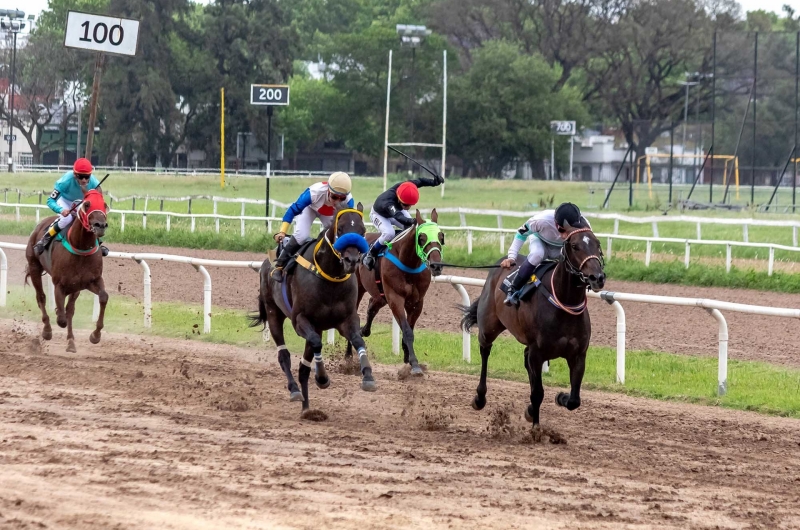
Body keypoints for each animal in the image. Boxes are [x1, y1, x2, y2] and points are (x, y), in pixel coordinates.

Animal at [24, 188, 110, 352]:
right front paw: (56, 317)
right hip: (34, 266)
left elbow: (103, 297)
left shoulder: (91, 281)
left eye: (104, 204)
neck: (81, 247)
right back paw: (47, 330)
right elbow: (61, 318)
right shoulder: (60, 285)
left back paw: (71, 342)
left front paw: (95, 335)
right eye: (87, 204)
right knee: (41, 297)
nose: (100, 226)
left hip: (76, 286)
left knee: (70, 309)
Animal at [250, 200, 372, 410]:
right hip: (274, 312)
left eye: (363, 230)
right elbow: (316, 342)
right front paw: (322, 377)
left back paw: (307, 410)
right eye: (340, 228)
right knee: (284, 355)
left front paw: (368, 376)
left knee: (303, 368)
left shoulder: (346, 319)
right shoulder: (301, 320)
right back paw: (295, 390)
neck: (329, 277)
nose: (352, 260)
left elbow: (358, 340)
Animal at [344, 208, 444, 374]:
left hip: (380, 294)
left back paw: (364, 331)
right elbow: (407, 331)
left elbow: (409, 329)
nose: (436, 266)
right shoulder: (395, 298)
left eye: (441, 236)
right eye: (422, 238)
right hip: (358, 290)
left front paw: (408, 359)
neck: (408, 263)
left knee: (372, 306)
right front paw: (414, 364)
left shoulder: (416, 302)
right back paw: (348, 357)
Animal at [462, 224, 608, 434]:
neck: (563, 302)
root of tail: (500, 265)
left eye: (597, 244)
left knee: (524, 357)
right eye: (575, 246)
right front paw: (536, 430)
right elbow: (538, 393)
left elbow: (574, 399)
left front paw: (560, 398)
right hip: (489, 327)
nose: (597, 277)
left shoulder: (578, 354)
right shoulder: (538, 353)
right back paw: (480, 398)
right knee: (485, 350)